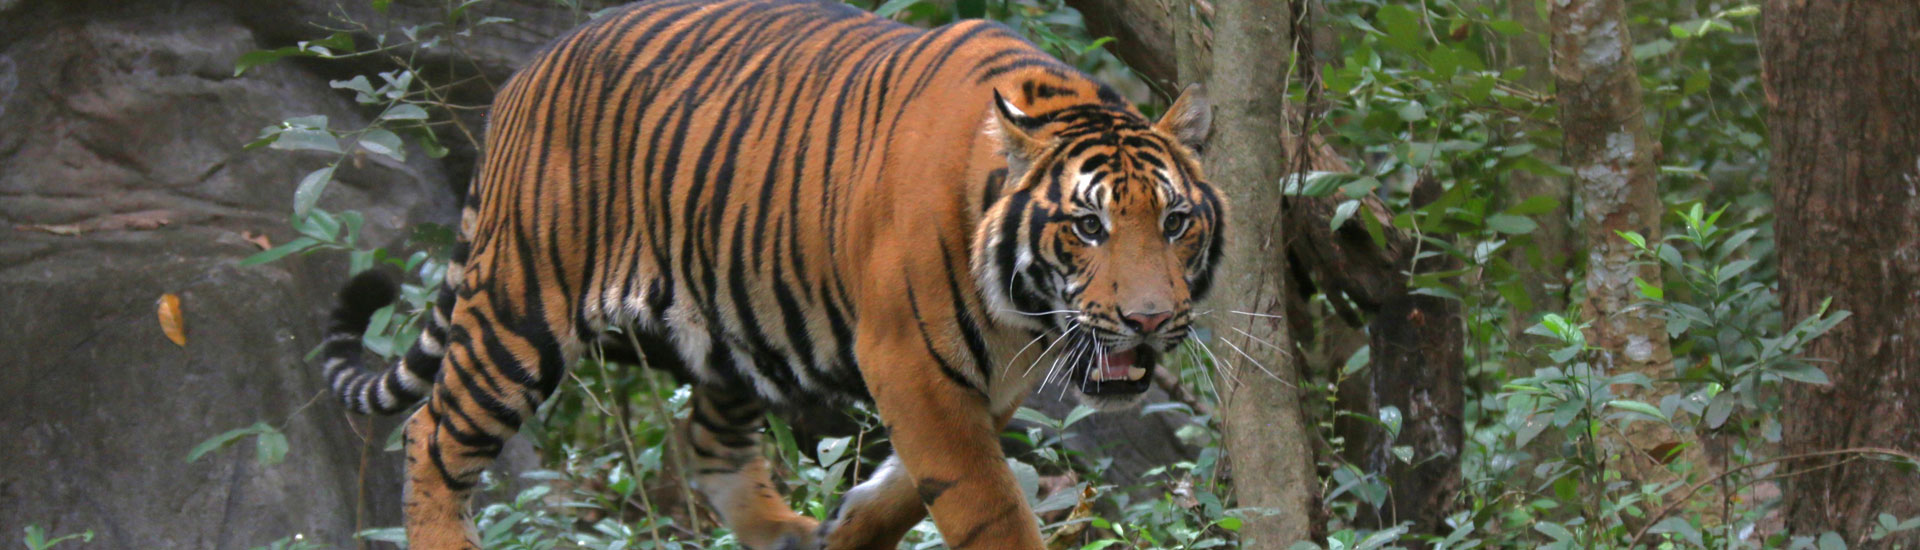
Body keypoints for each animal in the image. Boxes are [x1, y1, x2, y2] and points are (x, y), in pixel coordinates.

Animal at [311, 0, 1224, 547]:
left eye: (1176, 223)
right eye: (1088, 226)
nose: (1149, 320)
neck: (1019, 316)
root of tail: (521, 77)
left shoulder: (983, 378)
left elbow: (908, 485)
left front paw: (843, 531)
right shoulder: (912, 361)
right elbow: (984, 498)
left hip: (727, 324)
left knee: (705, 444)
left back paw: (784, 532)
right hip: (519, 307)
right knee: (432, 434)